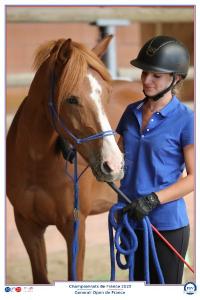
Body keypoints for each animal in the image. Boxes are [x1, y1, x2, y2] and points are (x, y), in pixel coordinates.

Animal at [6, 35, 144, 284]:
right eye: (71, 99)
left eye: (107, 94)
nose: (114, 164)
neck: (36, 165)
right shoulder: (27, 226)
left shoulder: (74, 227)